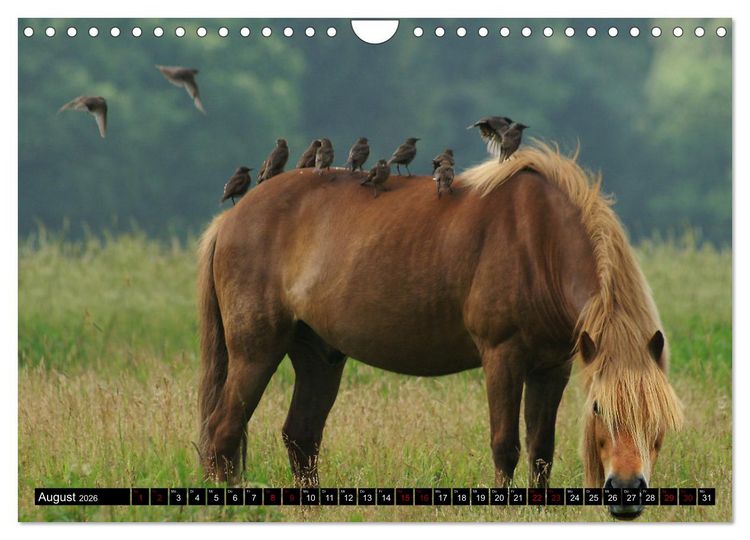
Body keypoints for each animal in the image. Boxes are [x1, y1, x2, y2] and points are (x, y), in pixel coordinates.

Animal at [197, 141, 683, 519]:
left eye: (659, 416)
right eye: (599, 408)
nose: (627, 491)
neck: (539, 239)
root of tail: (231, 219)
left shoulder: (552, 367)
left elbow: (541, 447)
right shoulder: (503, 357)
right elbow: (505, 443)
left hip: (320, 356)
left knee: (300, 437)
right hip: (256, 350)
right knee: (223, 432)